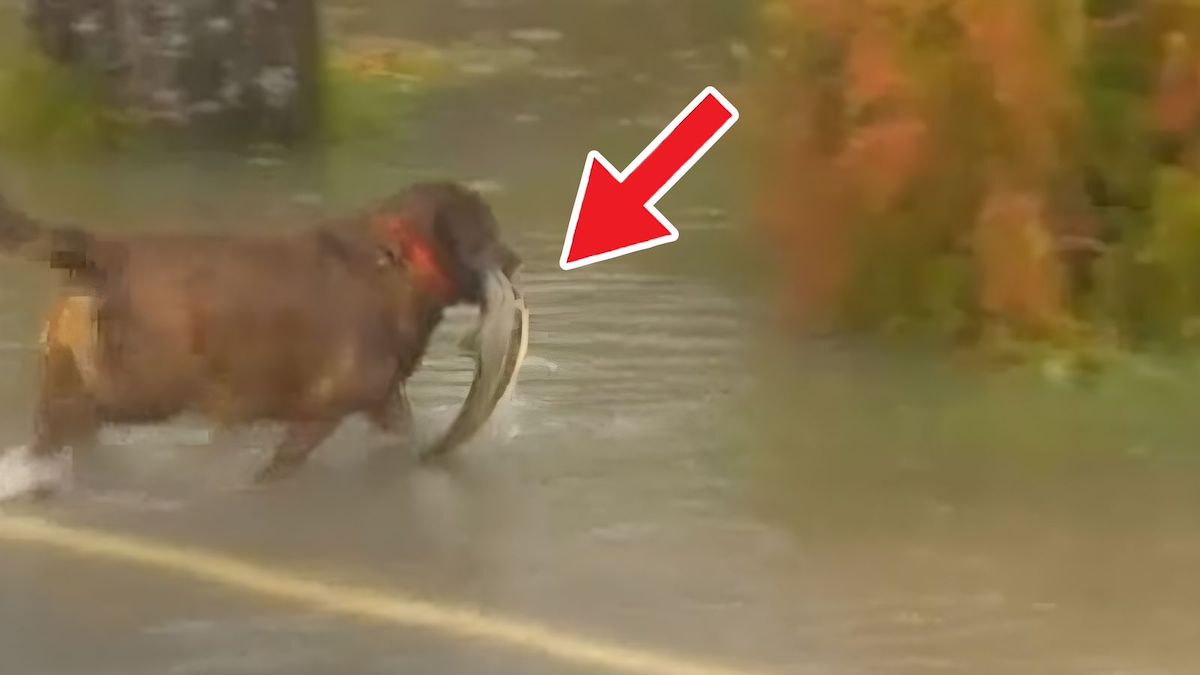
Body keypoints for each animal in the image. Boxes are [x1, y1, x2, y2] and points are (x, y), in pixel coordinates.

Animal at [0, 181, 530, 492]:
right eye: (487, 229)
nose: (517, 258)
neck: (398, 257)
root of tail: (104, 250)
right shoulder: (325, 407)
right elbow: (284, 461)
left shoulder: (382, 401)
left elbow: (401, 430)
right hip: (137, 388)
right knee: (61, 427)